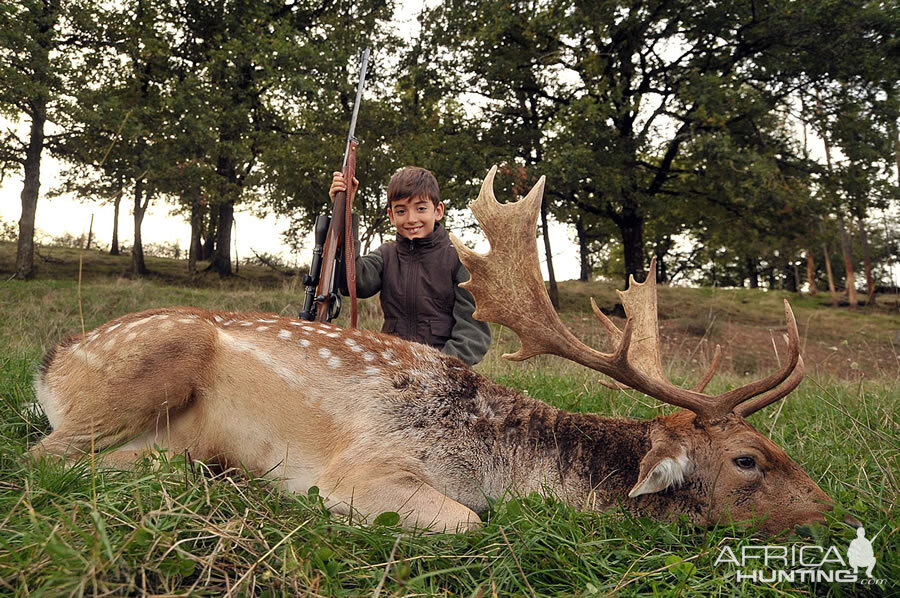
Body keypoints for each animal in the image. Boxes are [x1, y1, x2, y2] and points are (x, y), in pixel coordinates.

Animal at [29, 166, 844, 536]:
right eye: (748, 459)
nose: (830, 509)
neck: (502, 459)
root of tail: (53, 361)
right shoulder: (371, 466)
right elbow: (469, 521)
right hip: (148, 363)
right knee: (44, 457)